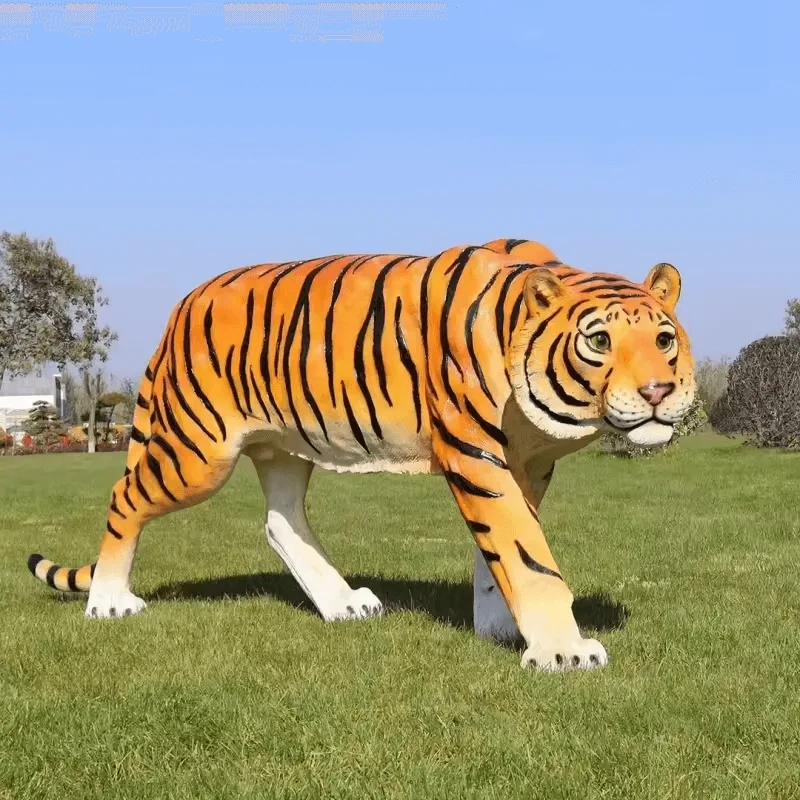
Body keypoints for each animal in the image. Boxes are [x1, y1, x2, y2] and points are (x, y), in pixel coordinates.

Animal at [27, 238, 695, 672]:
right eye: (599, 341)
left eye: (664, 338)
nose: (658, 391)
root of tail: (182, 306)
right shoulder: (477, 455)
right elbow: (524, 552)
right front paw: (563, 650)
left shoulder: (527, 464)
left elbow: (500, 553)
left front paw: (501, 628)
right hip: (197, 454)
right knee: (125, 497)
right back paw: (109, 602)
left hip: (285, 445)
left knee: (281, 523)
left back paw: (344, 605)